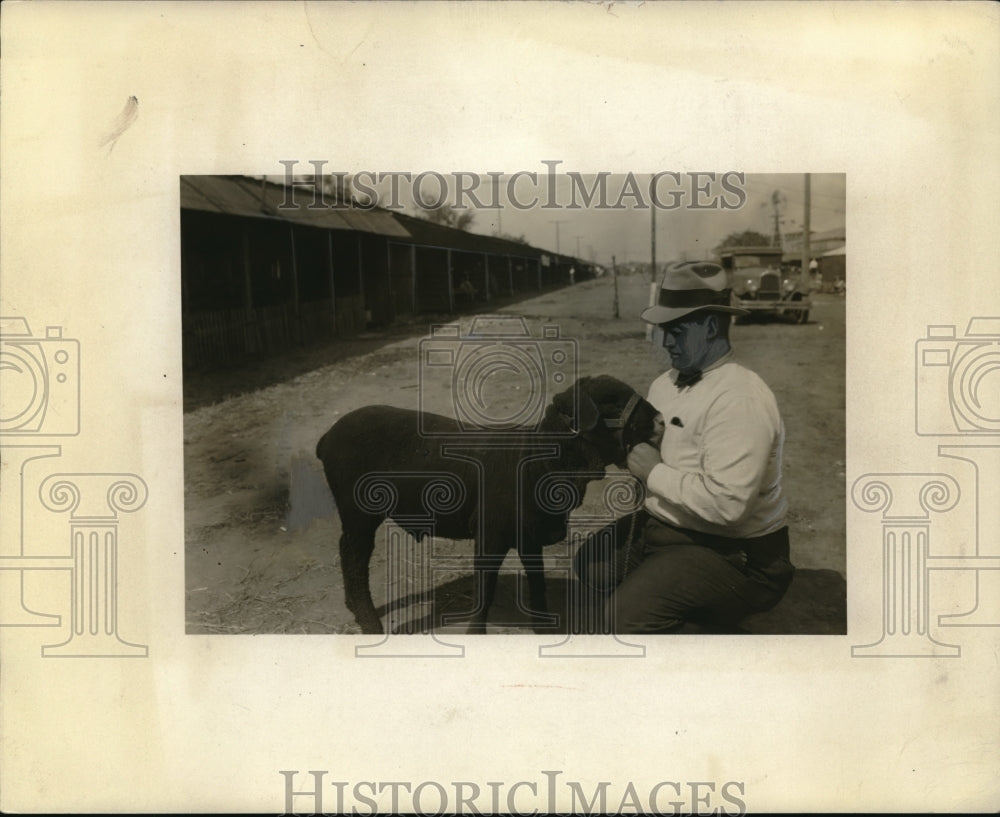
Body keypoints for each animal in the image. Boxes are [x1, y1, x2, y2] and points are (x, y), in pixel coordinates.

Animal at [312, 372, 660, 636]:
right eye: (610, 402)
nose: (659, 420)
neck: (537, 460)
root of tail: (327, 436)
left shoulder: (529, 536)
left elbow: (537, 583)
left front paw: (544, 628)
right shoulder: (489, 535)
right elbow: (485, 590)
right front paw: (476, 632)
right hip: (358, 512)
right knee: (353, 559)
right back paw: (370, 623)